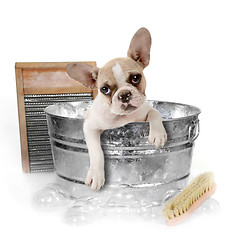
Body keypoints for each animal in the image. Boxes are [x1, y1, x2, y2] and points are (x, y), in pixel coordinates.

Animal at [65, 27, 167, 190]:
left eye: (136, 78)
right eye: (104, 89)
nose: (124, 94)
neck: (121, 117)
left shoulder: (145, 110)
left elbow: (155, 113)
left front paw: (158, 134)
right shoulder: (90, 127)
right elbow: (96, 151)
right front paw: (96, 175)